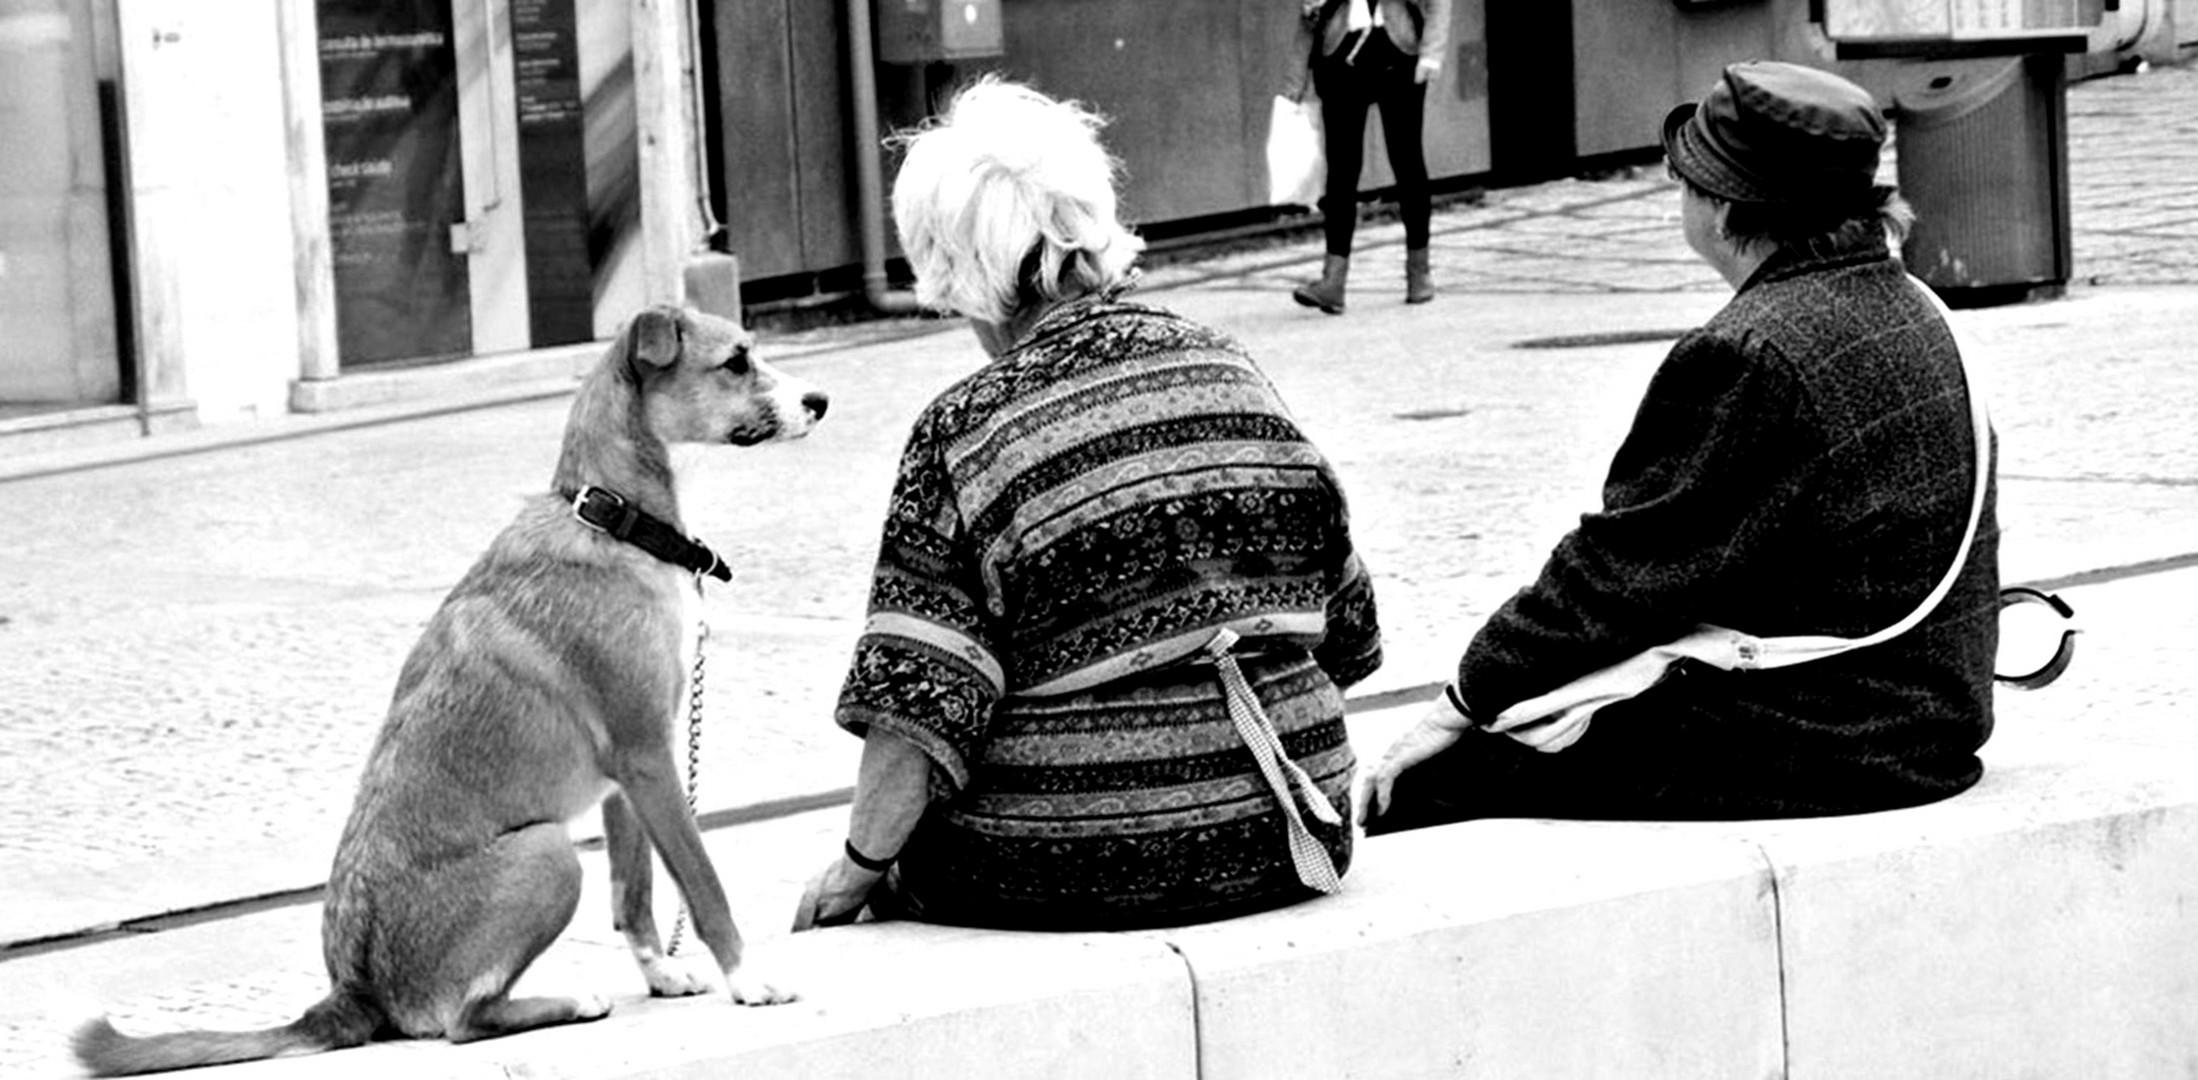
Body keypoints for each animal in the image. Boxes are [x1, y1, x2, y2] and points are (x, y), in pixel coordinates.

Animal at [77, 307, 826, 1077]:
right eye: (736, 362)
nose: (819, 401)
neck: (615, 521)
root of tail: (350, 994)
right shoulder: (649, 756)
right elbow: (703, 883)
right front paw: (749, 980)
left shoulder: (627, 777)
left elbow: (635, 894)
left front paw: (663, 974)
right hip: (548, 854)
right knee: (463, 1022)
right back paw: (568, 1002)